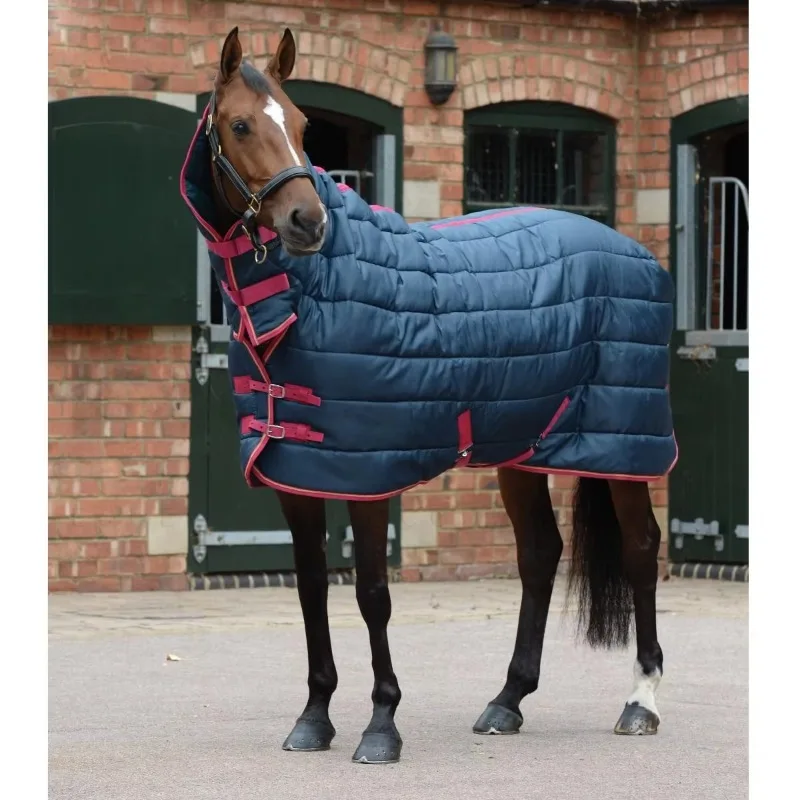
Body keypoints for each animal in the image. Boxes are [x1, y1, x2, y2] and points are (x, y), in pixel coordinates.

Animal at [180, 26, 674, 765]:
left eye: (300, 124)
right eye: (240, 125)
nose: (306, 222)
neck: (309, 295)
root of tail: (636, 253)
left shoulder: (368, 473)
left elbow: (372, 593)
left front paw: (381, 725)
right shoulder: (298, 472)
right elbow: (310, 588)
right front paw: (314, 718)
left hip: (624, 446)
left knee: (641, 548)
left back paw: (640, 701)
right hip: (522, 449)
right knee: (540, 555)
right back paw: (507, 700)